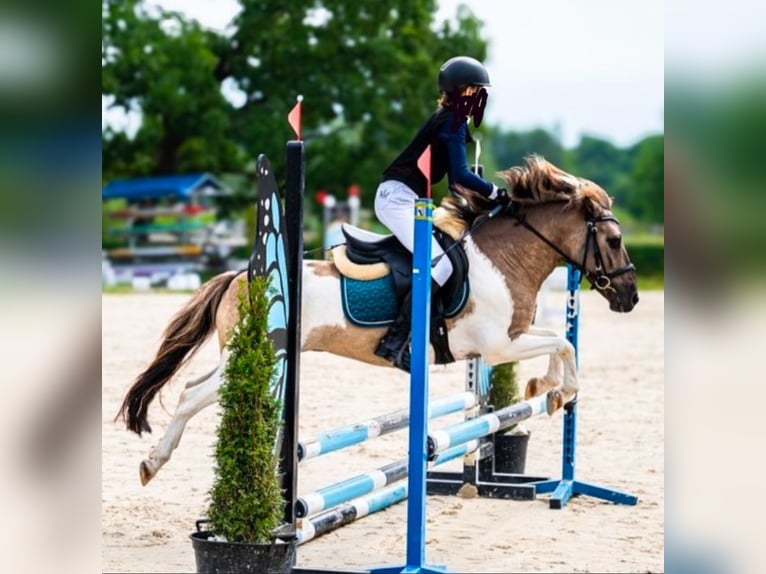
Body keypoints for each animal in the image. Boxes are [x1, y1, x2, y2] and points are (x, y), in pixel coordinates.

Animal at [116, 155, 639, 485]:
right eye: (613, 240)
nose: (630, 297)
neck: (501, 259)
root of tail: (241, 275)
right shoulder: (497, 345)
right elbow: (563, 344)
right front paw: (557, 391)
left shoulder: (506, 341)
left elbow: (559, 340)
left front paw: (544, 390)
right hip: (260, 355)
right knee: (193, 394)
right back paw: (152, 464)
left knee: (193, 386)